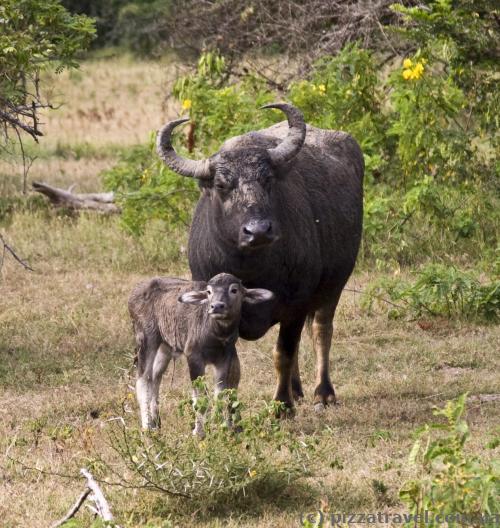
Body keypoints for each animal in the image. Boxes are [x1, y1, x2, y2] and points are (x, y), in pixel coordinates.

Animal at [156, 102, 364, 408]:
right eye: (221, 185)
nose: (258, 231)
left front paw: (282, 405)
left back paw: (322, 392)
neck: (251, 269)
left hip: (335, 283)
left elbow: (284, 353)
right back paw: (297, 389)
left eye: (267, 179)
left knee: (321, 329)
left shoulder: (296, 303)